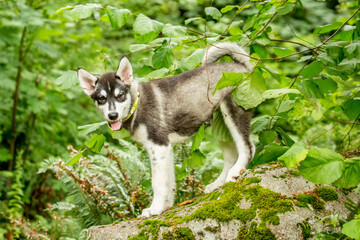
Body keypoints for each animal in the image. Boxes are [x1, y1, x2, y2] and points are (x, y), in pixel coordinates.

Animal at [77, 42, 255, 217]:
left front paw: (154, 209)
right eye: (101, 98)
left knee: (248, 147)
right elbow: (169, 182)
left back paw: (236, 171)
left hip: (232, 112)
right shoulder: (164, 149)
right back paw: (218, 183)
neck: (136, 104)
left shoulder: (159, 146)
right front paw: (165, 206)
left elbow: (158, 183)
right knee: (231, 155)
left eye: (120, 95)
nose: (112, 115)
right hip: (220, 128)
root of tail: (241, 65)